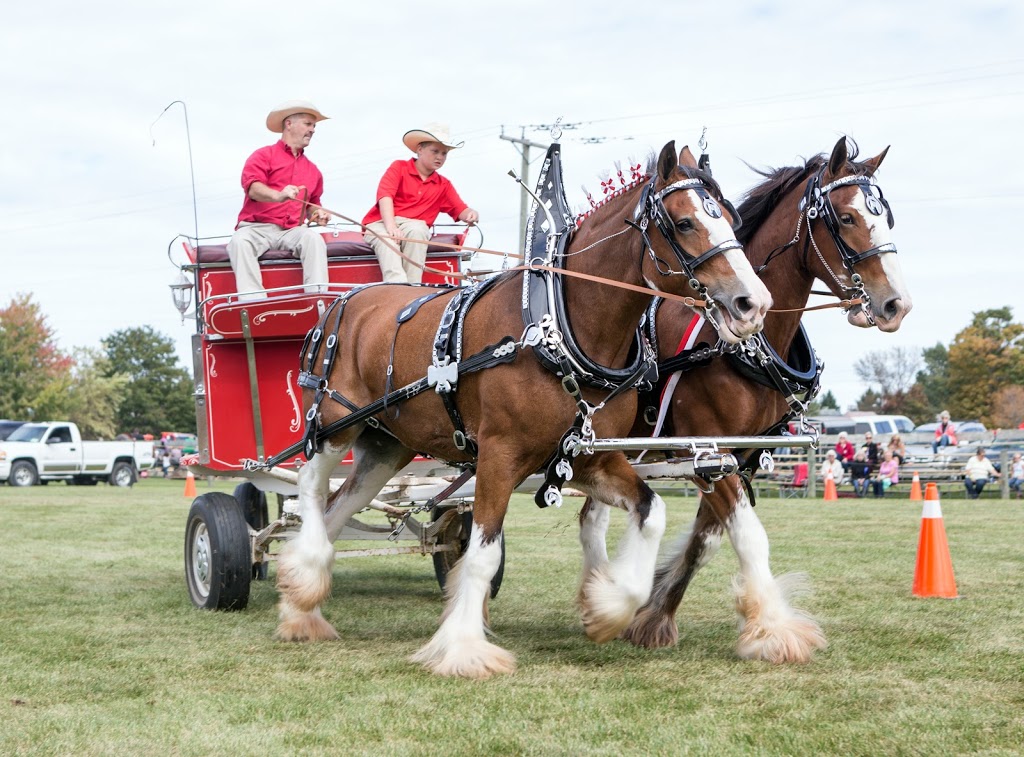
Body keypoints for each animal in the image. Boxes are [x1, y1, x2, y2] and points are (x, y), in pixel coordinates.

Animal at [270, 142, 770, 680]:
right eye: (684, 222)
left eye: (733, 221)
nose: (754, 303)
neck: (557, 328)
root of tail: (341, 303)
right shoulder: (498, 455)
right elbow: (482, 556)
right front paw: (463, 648)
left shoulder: (587, 457)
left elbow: (651, 511)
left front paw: (606, 608)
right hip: (335, 425)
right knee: (310, 485)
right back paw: (304, 574)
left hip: (387, 446)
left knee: (339, 507)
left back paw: (302, 604)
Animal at [577, 136, 913, 663]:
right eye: (846, 217)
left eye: (886, 218)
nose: (897, 304)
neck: (741, 346)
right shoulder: (709, 449)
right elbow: (749, 536)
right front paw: (775, 629)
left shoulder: (740, 456)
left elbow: (707, 540)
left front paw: (654, 615)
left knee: (592, 515)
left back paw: (598, 591)